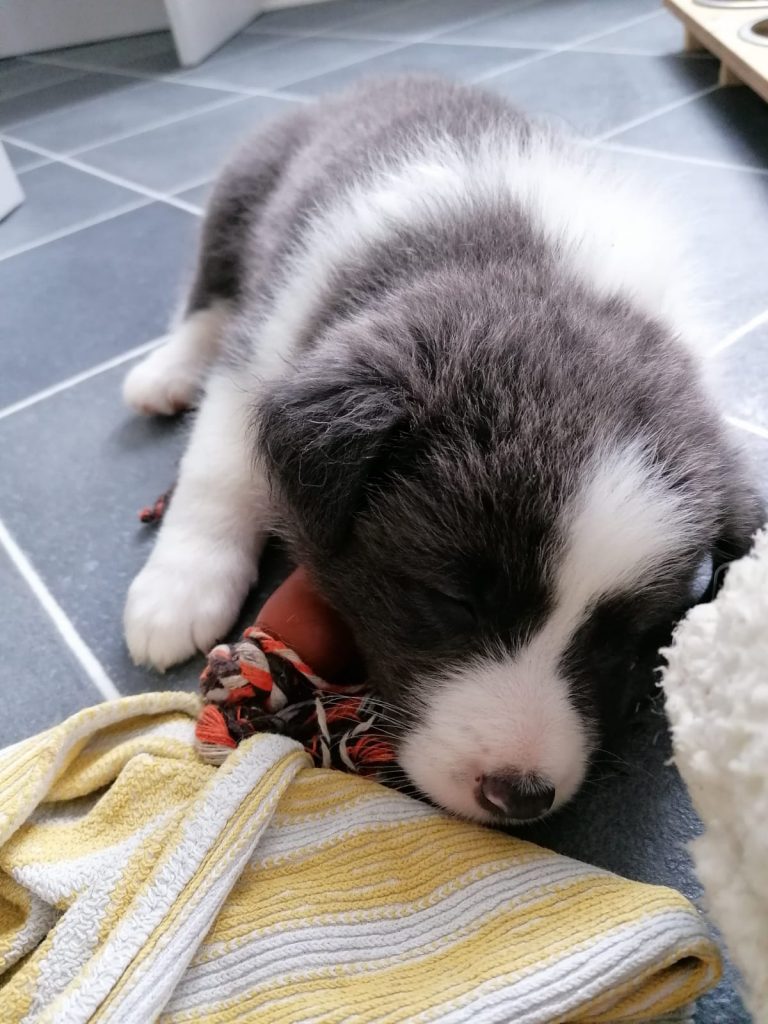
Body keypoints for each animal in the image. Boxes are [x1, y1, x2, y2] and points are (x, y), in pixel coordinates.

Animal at [123, 76, 763, 824]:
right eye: (455, 601)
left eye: (627, 640)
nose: (520, 796)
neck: (534, 272)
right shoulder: (265, 343)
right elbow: (219, 469)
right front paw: (177, 592)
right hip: (239, 197)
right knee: (205, 300)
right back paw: (163, 375)